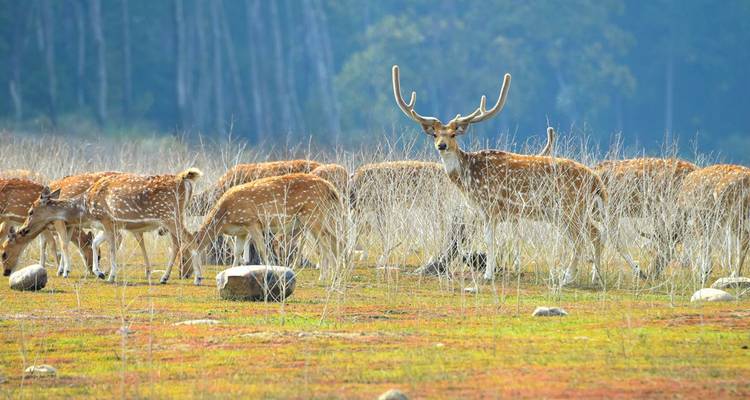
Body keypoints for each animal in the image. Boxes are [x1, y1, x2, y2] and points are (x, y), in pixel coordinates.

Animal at [12, 169, 203, 284]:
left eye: (30, 211)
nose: (23, 229)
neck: (87, 208)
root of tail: (184, 180)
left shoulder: (107, 219)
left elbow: (111, 247)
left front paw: (110, 275)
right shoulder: (110, 224)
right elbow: (96, 243)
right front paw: (100, 272)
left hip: (170, 216)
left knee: (190, 239)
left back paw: (197, 278)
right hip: (173, 218)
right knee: (180, 242)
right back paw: (165, 277)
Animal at [186, 173, 344, 280]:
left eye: (188, 257)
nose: (196, 279)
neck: (224, 219)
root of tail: (331, 188)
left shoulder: (252, 221)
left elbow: (262, 249)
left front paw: (271, 270)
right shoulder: (241, 231)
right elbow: (237, 253)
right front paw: (229, 274)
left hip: (313, 215)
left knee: (329, 243)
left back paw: (334, 276)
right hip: (321, 217)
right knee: (333, 241)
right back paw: (329, 275)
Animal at [392, 65, 607, 285]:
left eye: (453, 134)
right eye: (435, 134)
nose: (441, 145)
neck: (469, 176)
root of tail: (596, 181)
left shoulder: (490, 205)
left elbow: (489, 239)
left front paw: (488, 274)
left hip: (570, 207)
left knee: (583, 238)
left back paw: (568, 277)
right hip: (571, 211)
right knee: (595, 234)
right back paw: (595, 277)